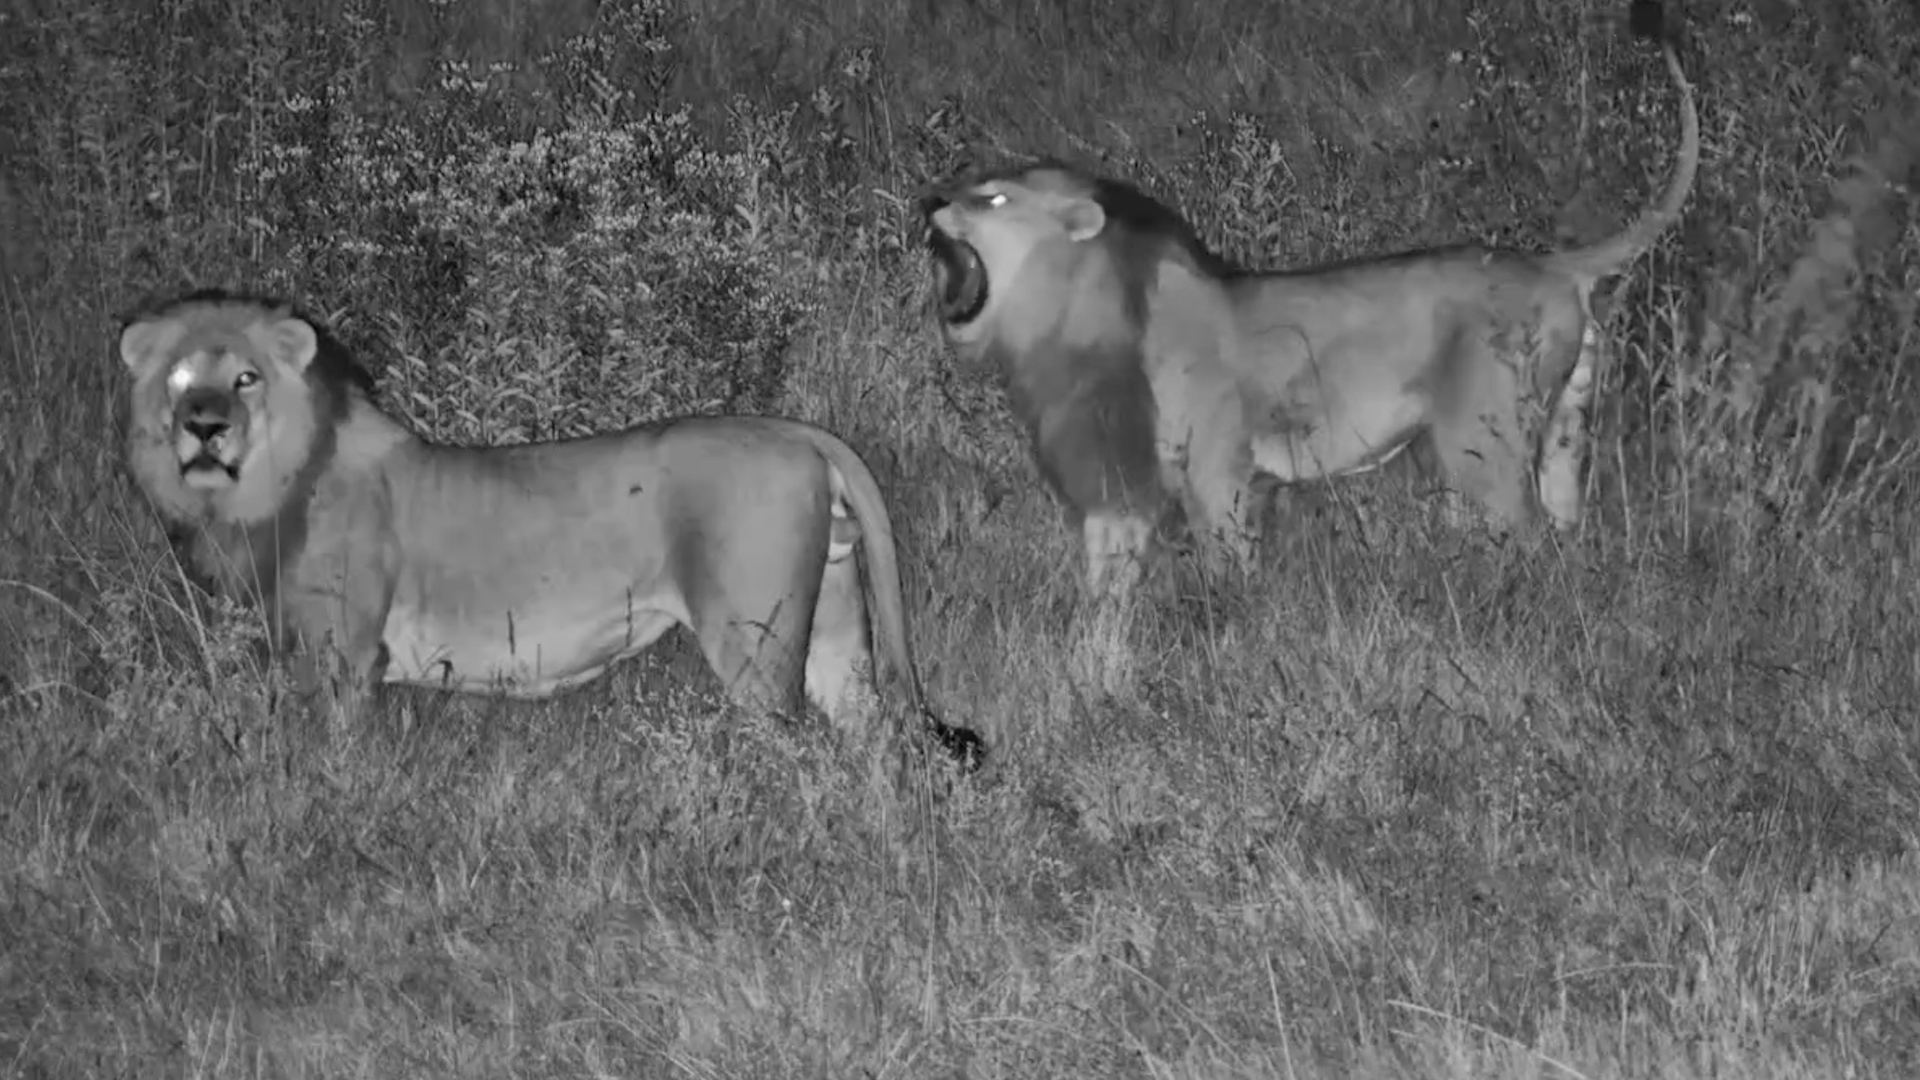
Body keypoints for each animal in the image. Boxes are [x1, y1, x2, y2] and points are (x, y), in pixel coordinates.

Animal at [118, 289, 983, 768]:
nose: (202, 426)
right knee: (873, 737)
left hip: (757, 643)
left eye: (245, 378)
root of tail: (801, 433)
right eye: (179, 379)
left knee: (792, 744)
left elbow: (333, 752)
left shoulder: (343, 659)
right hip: (835, 622)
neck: (275, 481)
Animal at [920, 15, 1697, 596]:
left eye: (992, 198)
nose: (929, 200)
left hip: (1483, 445)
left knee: (1527, 539)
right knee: (1565, 534)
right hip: (1561, 435)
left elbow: (1228, 570)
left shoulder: (1219, 472)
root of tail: (1551, 262)